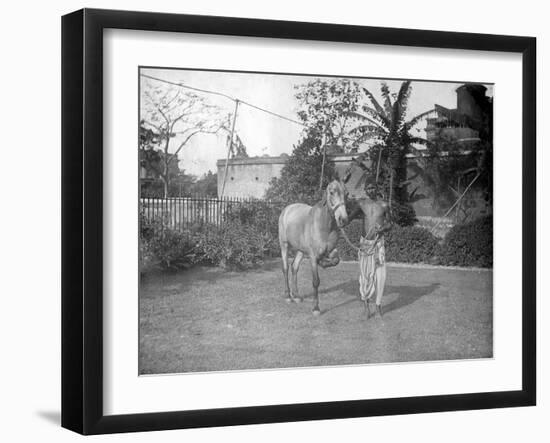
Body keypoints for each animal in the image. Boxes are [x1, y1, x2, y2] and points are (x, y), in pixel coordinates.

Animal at [280, 180, 350, 316]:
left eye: (347, 194)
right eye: (331, 192)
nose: (343, 219)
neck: (324, 225)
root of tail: (288, 208)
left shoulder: (331, 250)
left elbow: (336, 260)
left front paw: (324, 263)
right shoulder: (312, 256)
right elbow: (316, 281)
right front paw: (316, 308)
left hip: (301, 250)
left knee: (294, 267)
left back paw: (296, 296)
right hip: (284, 245)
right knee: (285, 268)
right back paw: (288, 296)